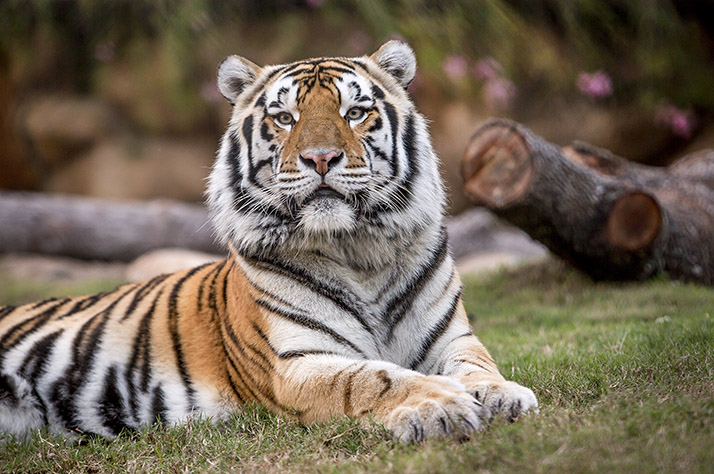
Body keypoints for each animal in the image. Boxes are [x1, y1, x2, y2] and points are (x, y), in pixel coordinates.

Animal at [0, 41, 537, 444]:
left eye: (355, 112)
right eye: (284, 118)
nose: (321, 158)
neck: (359, 252)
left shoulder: (452, 338)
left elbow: (479, 366)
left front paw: (505, 395)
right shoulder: (297, 364)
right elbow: (373, 378)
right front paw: (440, 404)